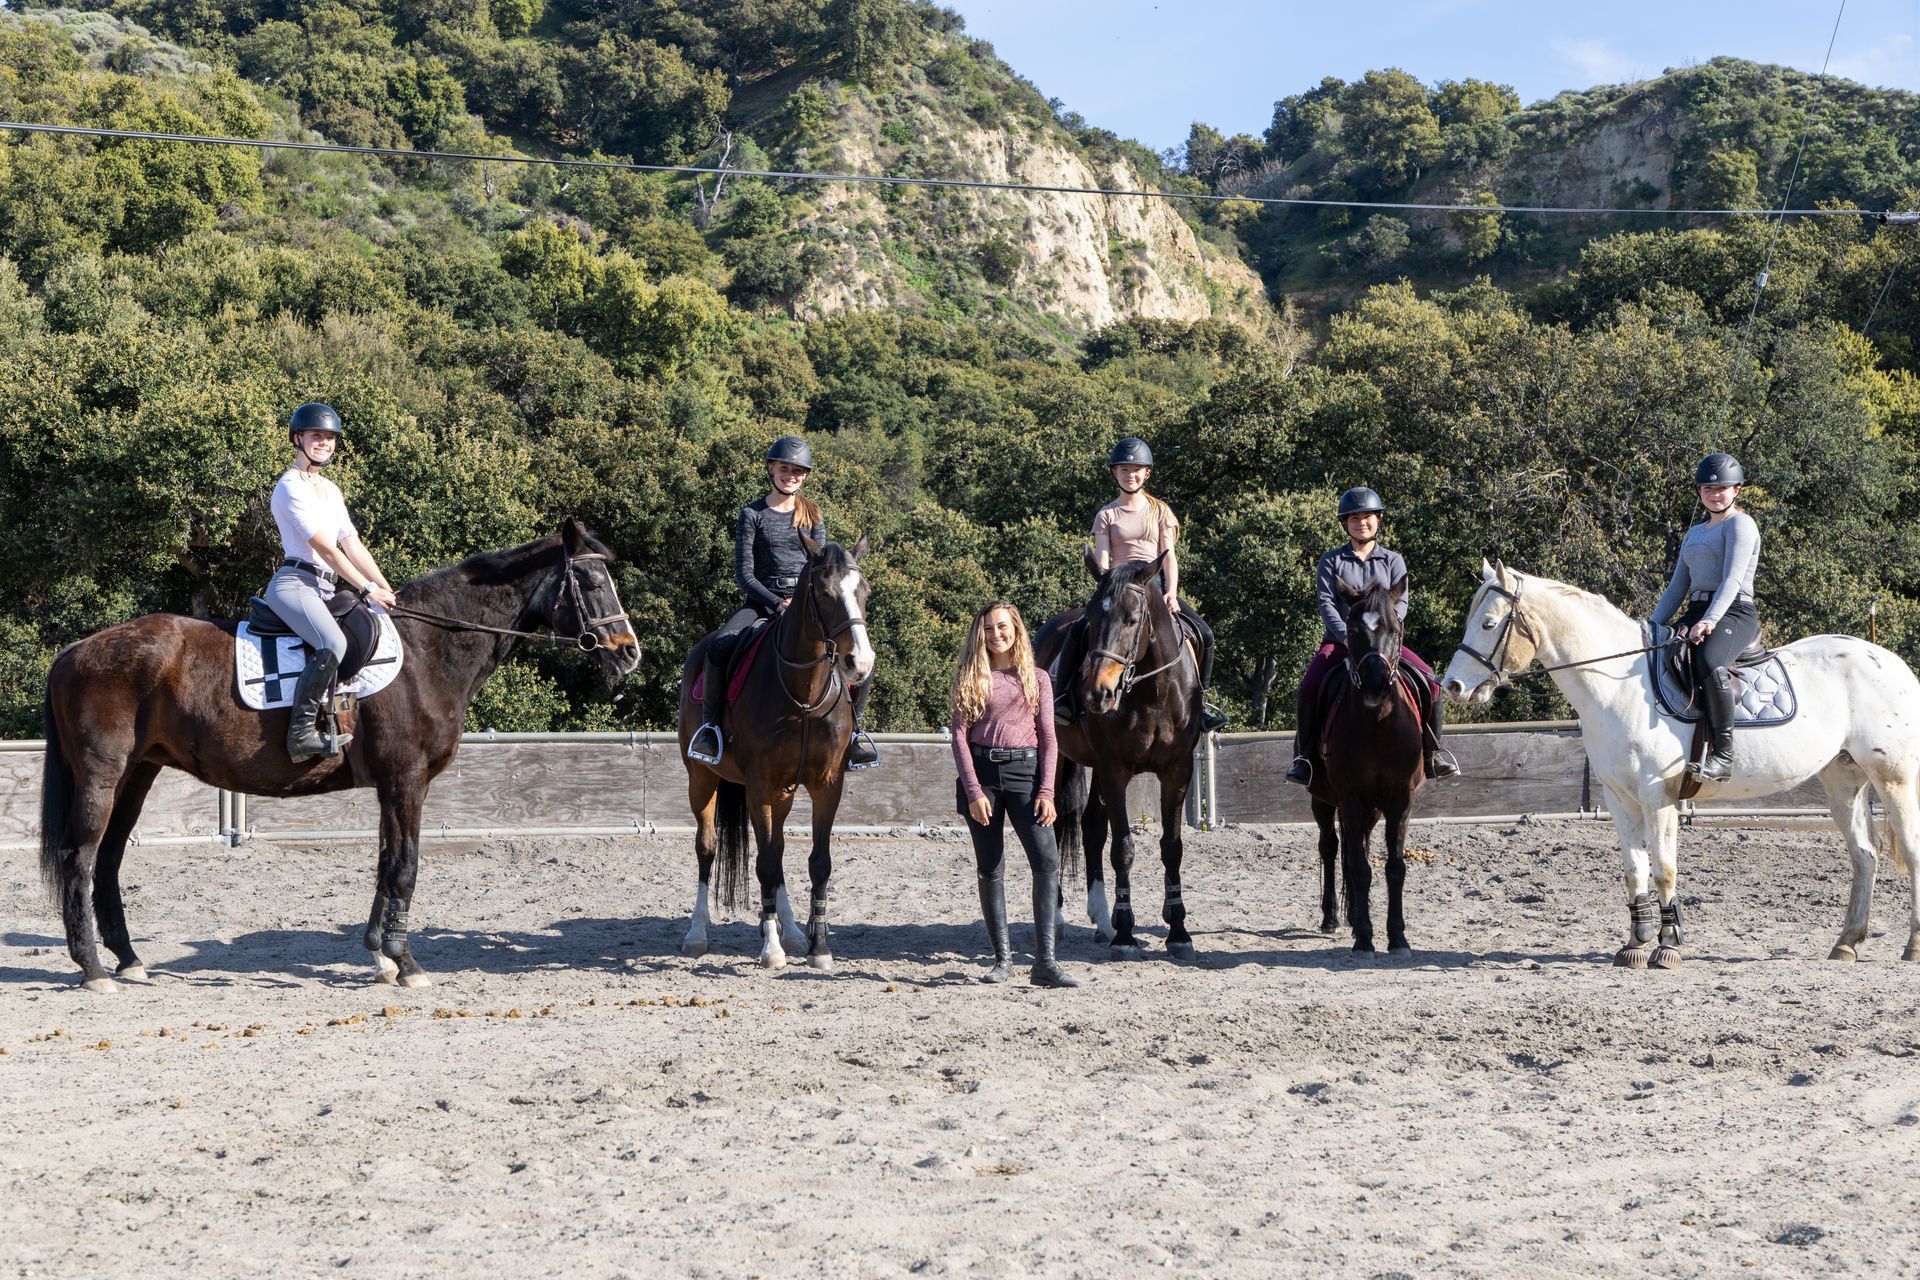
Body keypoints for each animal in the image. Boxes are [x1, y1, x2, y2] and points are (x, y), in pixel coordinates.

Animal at [39, 520, 640, 992]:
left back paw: (128, 960)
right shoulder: (407, 780)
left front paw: (380, 955)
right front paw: (406, 963)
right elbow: (405, 866)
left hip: (138, 773)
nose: (629, 651)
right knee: (79, 857)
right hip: (102, 775)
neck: (427, 652)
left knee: (108, 859)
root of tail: (78, 650)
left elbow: (386, 862)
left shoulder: (393, 785)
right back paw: (93, 968)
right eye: (591, 580)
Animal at [677, 535, 874, 971]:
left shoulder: (826, 785)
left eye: (864, 592)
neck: (804, 695)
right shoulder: (759, 785)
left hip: (783, 792)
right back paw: (697, 933)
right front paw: (771, 948)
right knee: (707, 847)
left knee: (779, 849)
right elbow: (763, 863)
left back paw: (795, 932)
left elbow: (817, 862)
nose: (861, 662)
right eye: (824, 593)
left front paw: (819, 947)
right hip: (702, 779)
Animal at [1034, 550, 1207, 960]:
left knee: (1092, 826)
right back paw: (1060, 918)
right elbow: (1123, 848)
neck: (1154, 691)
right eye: (1093, 621)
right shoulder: (1116, 770)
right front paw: (1126, 934)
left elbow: (1172, 847)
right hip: (1059, 757)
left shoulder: (1177, 771)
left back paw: (1101, 918)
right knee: (1057, 824)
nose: (1098, 692)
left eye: (1131, 619)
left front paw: (1178, 931)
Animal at [1309, 578, 1427, 954]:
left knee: (1356, 845)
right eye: (1352, 630)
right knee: (1331, 847)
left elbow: (1394, 867)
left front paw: (1397, 936)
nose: (1376, 685)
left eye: (1395, 629)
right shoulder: (1350, 799)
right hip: (1322, 800)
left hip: (1372, 810)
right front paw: (1364, 936)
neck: (1378, 724)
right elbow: (1359, 868)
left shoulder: (1401, 801)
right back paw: (1332, 917)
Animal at [1442, 559, 1920, 968]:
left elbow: (1664, 870)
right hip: (1843, 778)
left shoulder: (1659, 796)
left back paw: (1912, 946)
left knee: (1911, 850)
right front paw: (1635, 943)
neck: (1617, 689)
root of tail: (1892, 662)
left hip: (1893, 777)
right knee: (1864, 856)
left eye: (1488, 624)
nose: (1453, 686)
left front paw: (1667, 947)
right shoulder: (1619, 799)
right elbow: (1634, 870)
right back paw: (1846, 944)